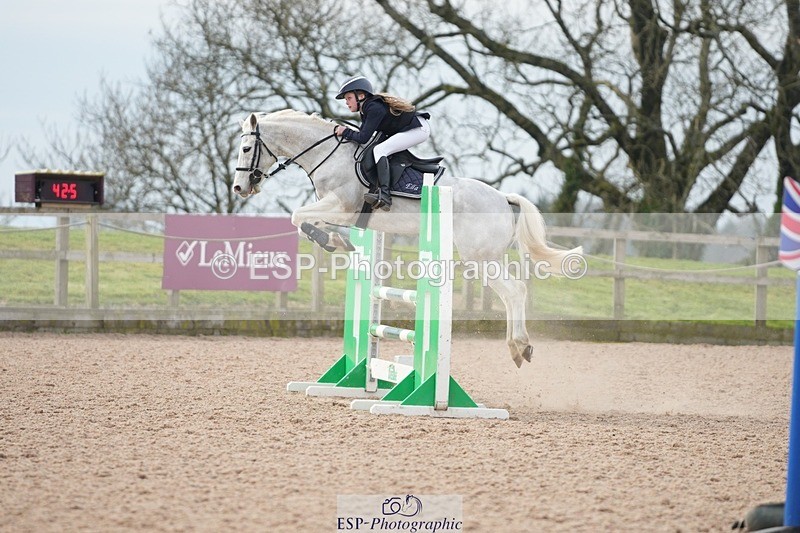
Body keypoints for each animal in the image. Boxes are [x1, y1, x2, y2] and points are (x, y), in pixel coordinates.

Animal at [232, 110, 583, 368]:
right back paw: (518, 348)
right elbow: (306, 221)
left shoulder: (342, 206)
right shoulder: (339, 211)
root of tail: (503, 199)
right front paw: (338, 241)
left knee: (514, 290)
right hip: (486, 257)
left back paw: (520, 346)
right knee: (512, 293)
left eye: (247, 149)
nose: (239, 188)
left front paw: (332, 241)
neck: (328, 155)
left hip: (480, 257)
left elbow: (298, 216)